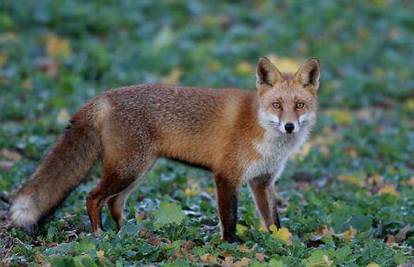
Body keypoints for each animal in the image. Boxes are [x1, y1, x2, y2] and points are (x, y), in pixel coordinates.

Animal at [8, 57, 320, 244]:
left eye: (299, 105)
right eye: (277, 105)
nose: (289, 126)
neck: (261, 130)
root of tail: (102, 97)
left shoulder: (262, 181)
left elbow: (273, 220)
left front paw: (280, 244)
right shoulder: (226, 176)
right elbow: (229, 219)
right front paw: (232, 248)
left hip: (138, 171)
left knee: (115, 203)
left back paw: (127, 235)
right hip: (127, 169)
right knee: (93, 197)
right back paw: (100, 236)